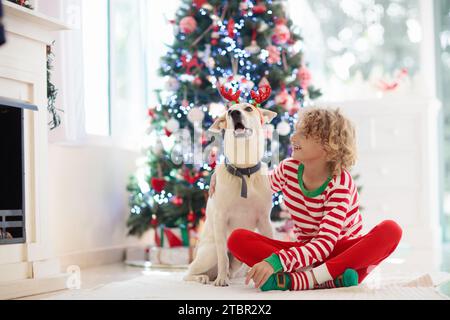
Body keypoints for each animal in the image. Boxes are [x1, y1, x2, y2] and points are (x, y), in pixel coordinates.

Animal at [184, 84, 276, 284]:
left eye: (248, 108)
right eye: (228, 112)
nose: (234, 113)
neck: (244, 171)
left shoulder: (264, 219)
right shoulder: (220, 218)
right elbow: (222, 256)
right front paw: (221, 280)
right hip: (208, 252)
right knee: (188, 272)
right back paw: (204, 277)